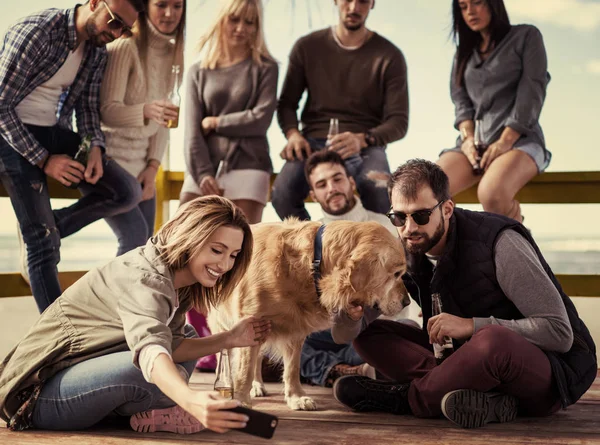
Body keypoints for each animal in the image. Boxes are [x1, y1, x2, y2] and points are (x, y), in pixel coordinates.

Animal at [209, 219, 410, 410]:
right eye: (397, 273)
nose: (407, 302)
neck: (313, 264)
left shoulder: (295, 330)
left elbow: (292, 368)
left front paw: (296, 397)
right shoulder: (251, 322)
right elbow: (245, 370)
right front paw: (241, 400)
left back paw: (258, 384)